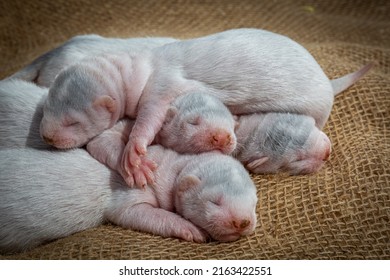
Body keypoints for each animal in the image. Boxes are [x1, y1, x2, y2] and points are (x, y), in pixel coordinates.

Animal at [0, 148, 258, 255]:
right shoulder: (130, 189)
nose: (243, 222)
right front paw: (190, 228)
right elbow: (133, 212)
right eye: (214, 201)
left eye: (254, 204)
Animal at [39, 28, 372, 187]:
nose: (46, 136)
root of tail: (327, 82)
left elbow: (151, 116)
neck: (137, 65)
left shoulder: (162, 84)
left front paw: (134, 152)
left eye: (72, 123)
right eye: (46, 106)